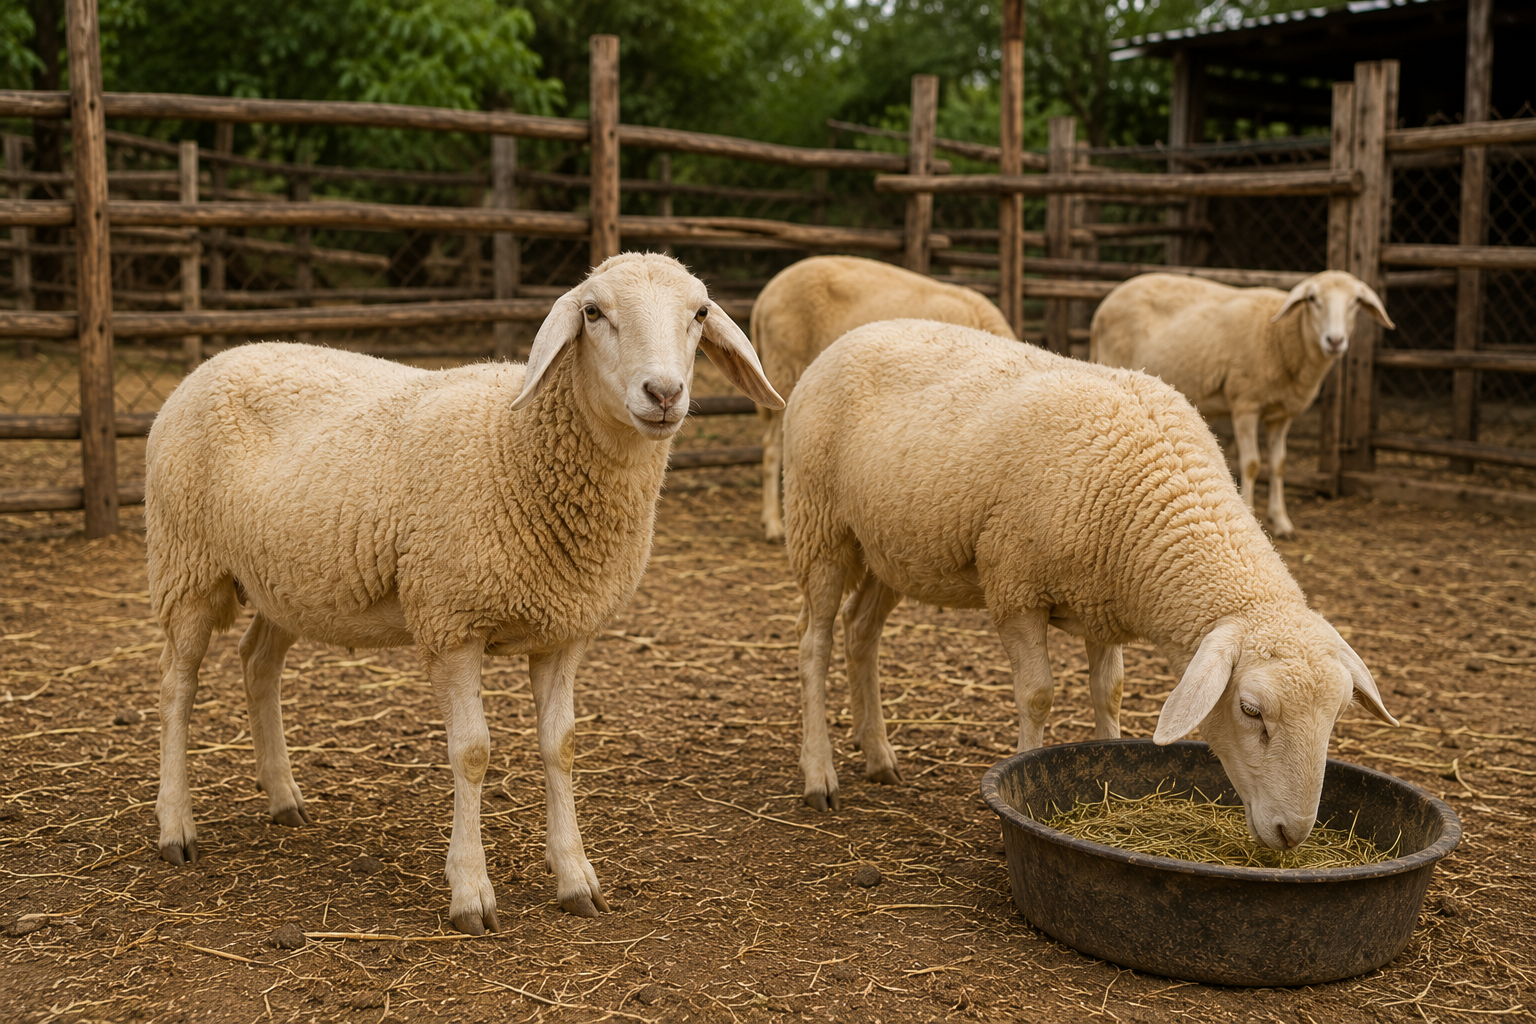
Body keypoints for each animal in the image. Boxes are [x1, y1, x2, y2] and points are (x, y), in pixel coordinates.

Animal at [145, 253, 783, 933]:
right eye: (592, 312)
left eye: (700, 313)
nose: (663, 395)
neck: (516, 441)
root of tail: (219, 358)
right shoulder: (451, 622)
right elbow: (472, 752)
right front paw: (471, 891)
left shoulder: (565, 630)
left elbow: (560, 747)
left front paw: (575, 878)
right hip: (186, 563)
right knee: (177, 685)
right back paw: (176, 826)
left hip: (287, 578)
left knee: (257, 664)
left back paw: (284, 796)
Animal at [782, 318, 1395, 850]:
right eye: (1250, 711)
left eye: (1337, 717)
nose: (1293, 834)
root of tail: (856, 332)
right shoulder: (1016, 590)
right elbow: (1037, 696)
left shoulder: (1103, 603)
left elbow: (1111, 692)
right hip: (820, 523)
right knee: (814, 643)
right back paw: (820, 774)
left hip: (891, 548)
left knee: (861, 632)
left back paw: (878, 755)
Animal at [1089, 270, 1393, 538]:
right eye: (1312, 299)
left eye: (1356, 301)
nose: (1335, 341)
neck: (1283, 336)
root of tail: (1104, 305)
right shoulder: (1246, 404)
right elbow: (1251, 464)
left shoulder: (1282, 414)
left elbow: (1279, 464)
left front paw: (1282, 521)